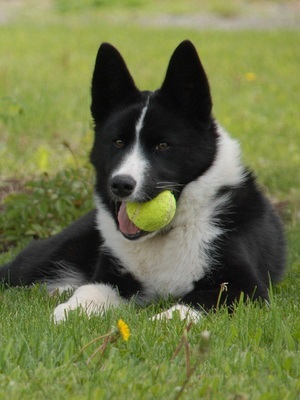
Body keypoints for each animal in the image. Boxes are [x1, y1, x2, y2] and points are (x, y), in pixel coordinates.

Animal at [0, 39, 286, 322]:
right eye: (117, 142)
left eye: (163, 145)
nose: (121, 185)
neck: (168, 233)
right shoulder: (112, 280)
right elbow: (89, 291)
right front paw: (69, 312)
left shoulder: (245, 289)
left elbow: (187, 307)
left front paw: (162, 323)